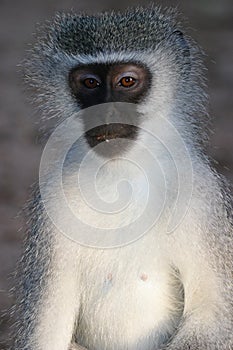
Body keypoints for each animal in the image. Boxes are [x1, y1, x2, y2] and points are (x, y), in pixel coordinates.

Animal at [13, 5, 233, 350]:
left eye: (126, 81)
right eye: (90, 83)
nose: (106, 112)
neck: (122, 176)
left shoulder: (202, 197)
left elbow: (213, 315)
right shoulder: (52, 202)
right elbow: (45, 332)